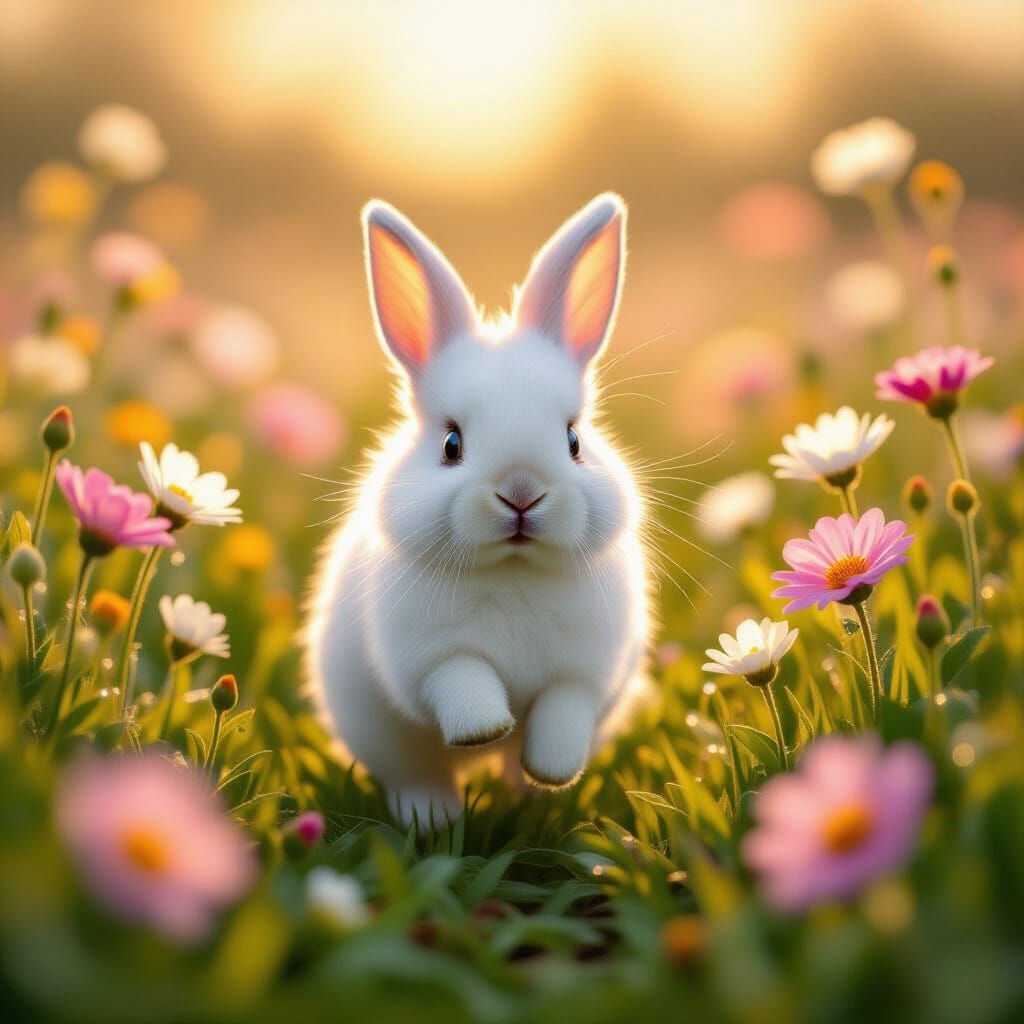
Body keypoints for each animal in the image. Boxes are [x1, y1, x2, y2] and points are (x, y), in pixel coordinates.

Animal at [305, 193, 651, 825]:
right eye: (451, 444)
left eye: (573, 440)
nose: (521, 491)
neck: (513, 569)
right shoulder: (429, 658)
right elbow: (463, 682)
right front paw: (485, 729)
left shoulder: (584, 673)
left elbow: (562, 713)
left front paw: (553, 770)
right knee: (418, 774)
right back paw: (434, 819)